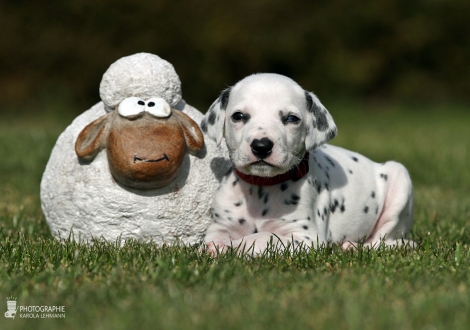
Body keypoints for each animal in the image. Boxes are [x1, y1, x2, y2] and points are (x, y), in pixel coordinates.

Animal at [200, 73, 414, 255]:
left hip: (399, 179)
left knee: (388, 242)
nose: (261, 146)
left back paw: (353, 247)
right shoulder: (221, 226)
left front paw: (230, 247)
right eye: (238, 116)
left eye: (291, 118)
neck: (261, 187)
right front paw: (214, 246)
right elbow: (215, 237)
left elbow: (261, 237)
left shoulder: (305, 238)